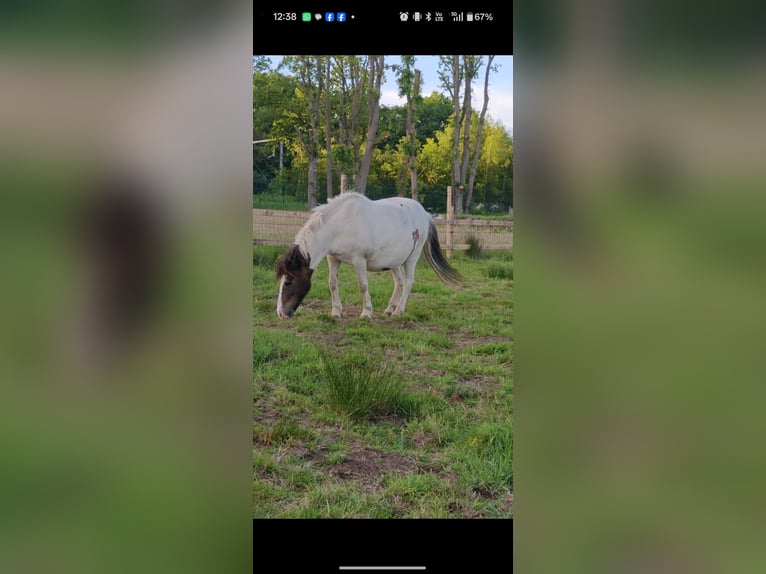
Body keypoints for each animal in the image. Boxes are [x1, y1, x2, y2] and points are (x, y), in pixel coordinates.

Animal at [275, 192, 464, 319]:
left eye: (288, 281)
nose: (281, 313)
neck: (341, 224)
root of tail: (425, 214)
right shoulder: (333, 258)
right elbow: (332, 284)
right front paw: (336, 312)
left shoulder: (359, 260)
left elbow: (363, 286)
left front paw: (366, 312)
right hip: (394, 261)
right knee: (399, 281)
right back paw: (389, 308)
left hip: (412, 257)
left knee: (409, 282)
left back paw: (398, 311)